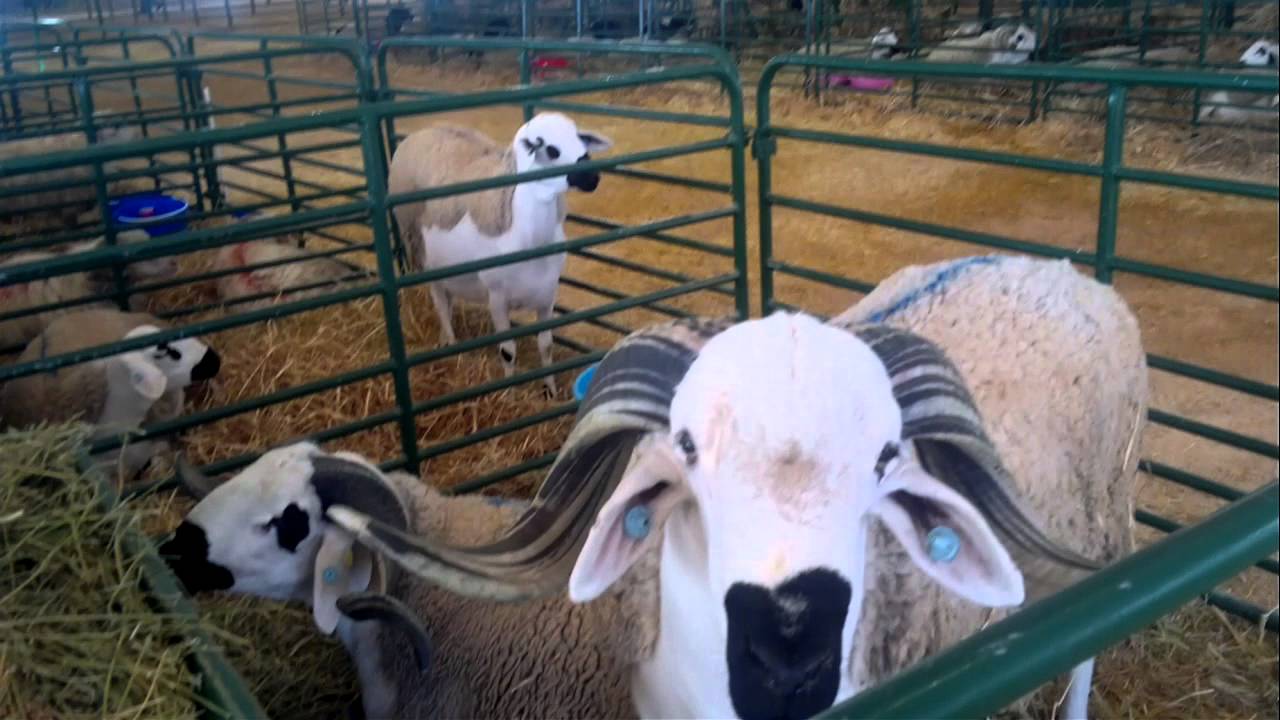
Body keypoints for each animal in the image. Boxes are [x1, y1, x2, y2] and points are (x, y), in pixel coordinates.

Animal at [319, 252, 1148, 720]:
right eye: (686, 450)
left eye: (886, 458)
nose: (790, 649)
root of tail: (1051, 269)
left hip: (1105, 517)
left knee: (1085, 648)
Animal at [387, 112, 613, 396]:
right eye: (551, 150)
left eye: (580, 141)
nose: (592, 178)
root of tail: (423, 132)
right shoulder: (497, 299)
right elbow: (508, 351)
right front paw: (510, 392)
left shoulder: (547, 295)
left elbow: (546, 346)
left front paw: (549, 389)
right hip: (422, 253)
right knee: (440, 303)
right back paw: (450, 341)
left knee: (448, 300)